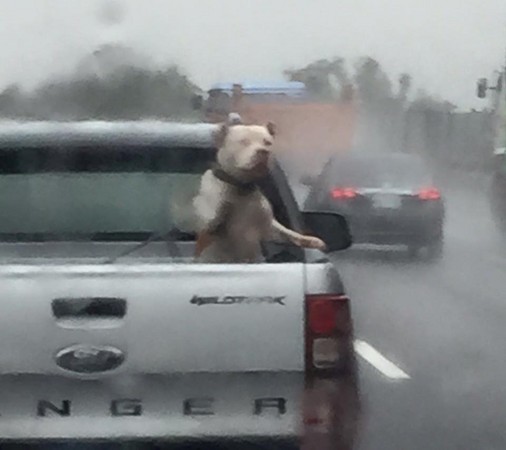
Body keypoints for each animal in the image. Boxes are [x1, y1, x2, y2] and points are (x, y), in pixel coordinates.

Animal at [192, 118, 326, 264]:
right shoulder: (209, 222)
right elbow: (212, 218)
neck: (241, 186)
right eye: (244, 141)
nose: (263, 151)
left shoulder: (267, 225)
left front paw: (309, 240)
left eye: (267, 142)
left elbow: (286, 232)